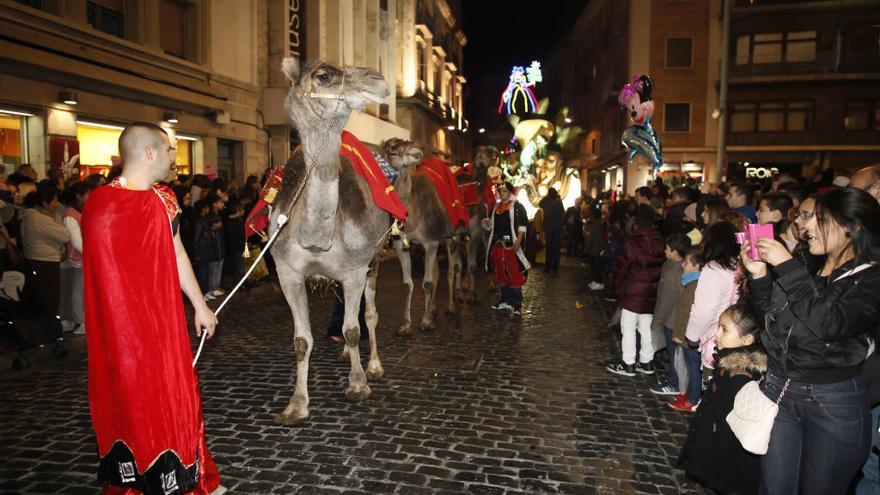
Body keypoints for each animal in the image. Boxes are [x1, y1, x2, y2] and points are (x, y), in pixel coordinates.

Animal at [270, 57, 390, 422]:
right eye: (324, 75)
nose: (379, 80)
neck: (316, 238)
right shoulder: (287, 272)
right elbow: (301, 340)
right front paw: (296, 404)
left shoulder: (355, 269)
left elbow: (354, 328)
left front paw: (359, 384)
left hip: (374, 259)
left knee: (369, 314)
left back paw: (373, 365)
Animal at [384, 138, 468, 336]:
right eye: (393, 146)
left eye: (409, 142)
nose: (416, 148)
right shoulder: (401, 245)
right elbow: (408, 285)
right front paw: (406, 325)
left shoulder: (431, 242)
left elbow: (428, 282)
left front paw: (426, 322)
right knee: (438, 271)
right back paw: (434, 309)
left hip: (451, 236)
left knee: (452, 269)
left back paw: (450, 306)